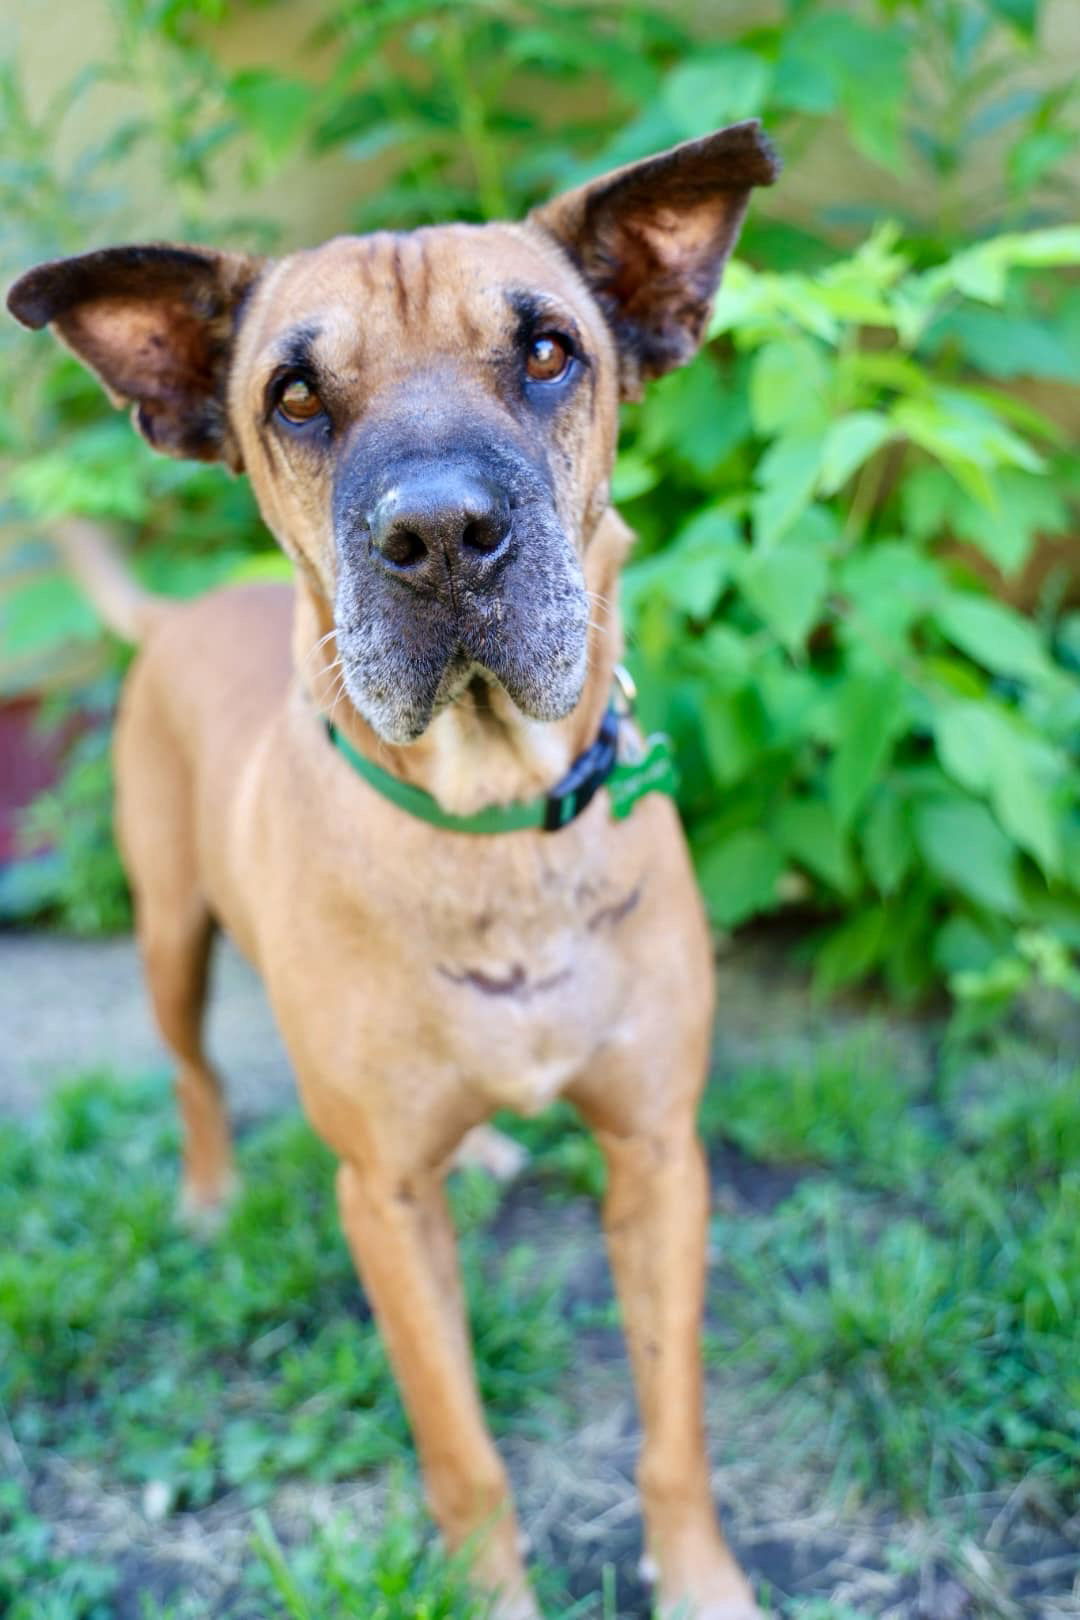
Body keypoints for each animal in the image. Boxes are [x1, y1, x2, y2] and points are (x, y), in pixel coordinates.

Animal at [6, 123, 777, 1620]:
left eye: (549, 351)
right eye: (295, 395)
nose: (439, 537)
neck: (490, 825)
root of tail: (178, 615)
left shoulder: (660, 1155)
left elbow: (676, 1427)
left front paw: (705, 1582)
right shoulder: (382, 1204)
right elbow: (463, 1452)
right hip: (168, 932)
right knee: (191, 1072)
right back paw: (207, 1195)